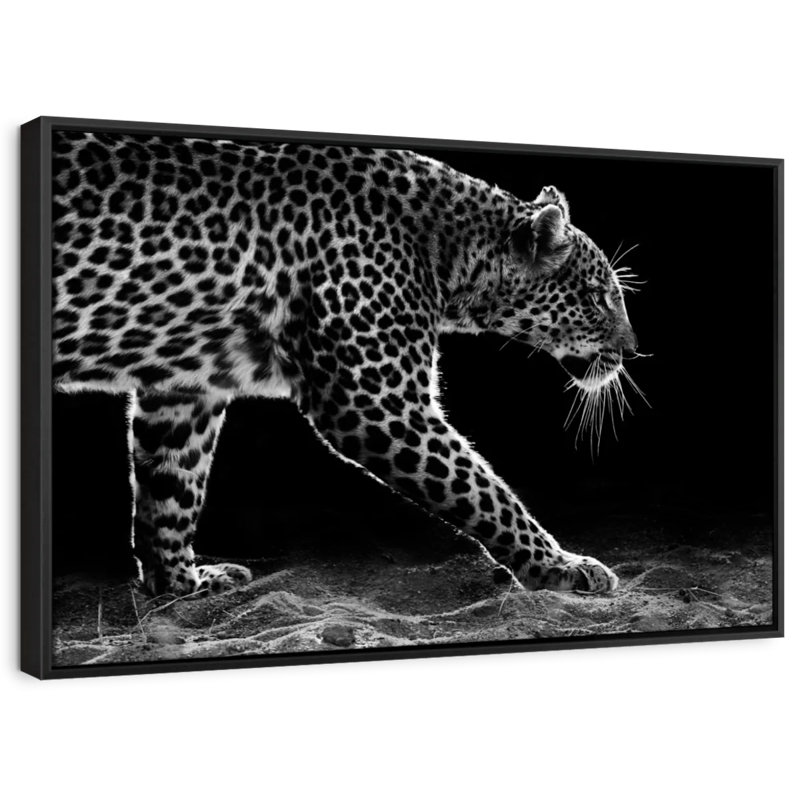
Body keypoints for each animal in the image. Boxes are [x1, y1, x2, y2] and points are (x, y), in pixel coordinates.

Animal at [51, 129, 640, 598]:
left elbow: (171, 487)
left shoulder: (185, 386)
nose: (632, 350)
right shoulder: (377, 401)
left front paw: (180, 583)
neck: (451, 251)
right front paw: (560, 566)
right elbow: (483, 490)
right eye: (599, 297)